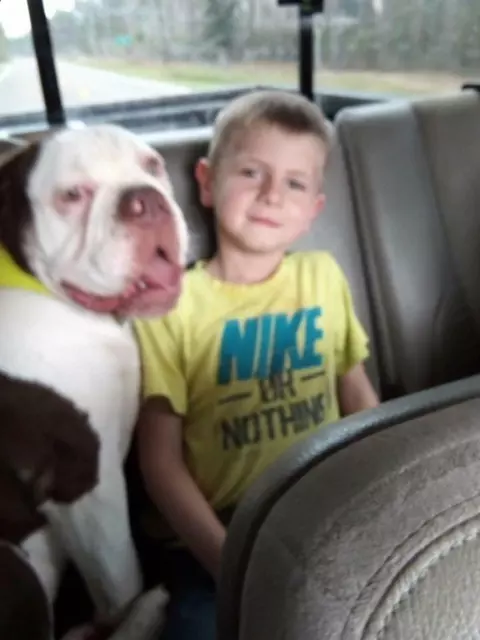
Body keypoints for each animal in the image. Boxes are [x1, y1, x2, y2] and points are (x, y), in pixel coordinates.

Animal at [0, 124, 188, 634]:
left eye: (152, 165)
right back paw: (146, 613)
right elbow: (119, 573)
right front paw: (126, 608)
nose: (146, 200)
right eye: (71, 195)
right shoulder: (85, 475)